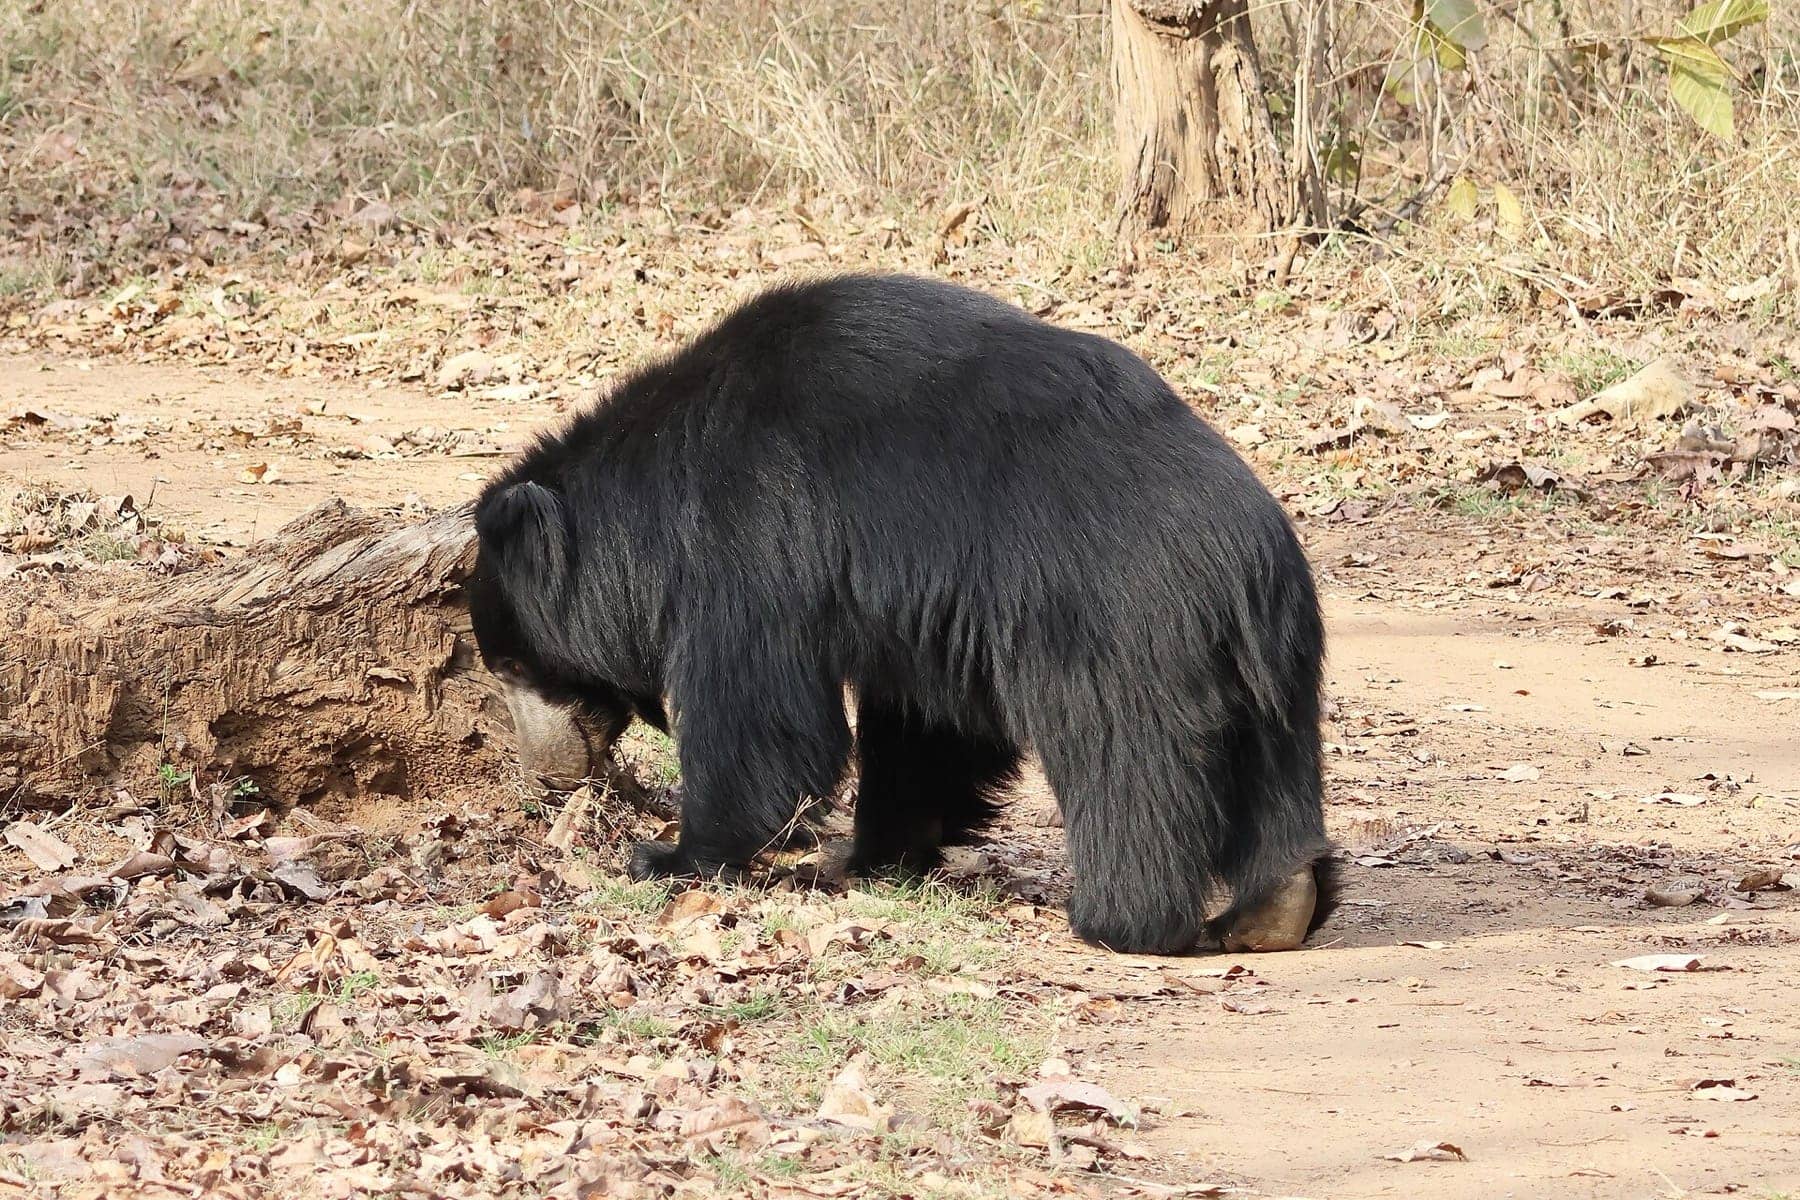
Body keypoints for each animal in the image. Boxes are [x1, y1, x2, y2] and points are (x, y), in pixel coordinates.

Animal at [464, 272, 1335, 955]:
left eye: (513, 663)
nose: (547, 776)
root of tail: (1243, 559)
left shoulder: (749, 541)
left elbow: (756, 711)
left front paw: (673, 855)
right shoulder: (928, 614)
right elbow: (927, 729)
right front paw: (880, 853)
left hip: (1120, 633)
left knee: (1125, 762)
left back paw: (1120, 921)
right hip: (1275, 661)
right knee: (1275, 766)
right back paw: (1275, 907)